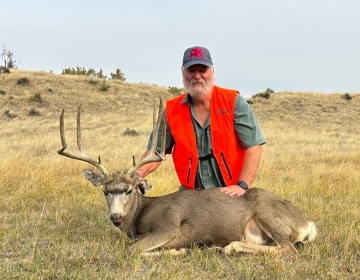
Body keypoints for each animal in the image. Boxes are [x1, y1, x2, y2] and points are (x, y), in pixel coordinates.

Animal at [57, 98, 316, 256]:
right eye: (105, 191)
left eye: (129, 190)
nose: (116, 217)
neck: (141, 213)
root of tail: (307, 222)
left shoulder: (168, 227)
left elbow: (133, 250)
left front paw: (181, 250)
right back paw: (220, 248)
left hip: (267, 215)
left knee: (288, 250)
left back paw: (226, 247)